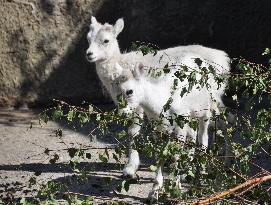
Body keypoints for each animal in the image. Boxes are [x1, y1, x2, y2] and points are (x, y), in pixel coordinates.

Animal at [86, 16, 231, 180]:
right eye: (88, 38)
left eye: (106, 40)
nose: (89, 54)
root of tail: (223, 59)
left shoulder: (138, 105)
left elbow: (133, 131)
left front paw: (130, 170)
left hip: (211, 98)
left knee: (222, 121)